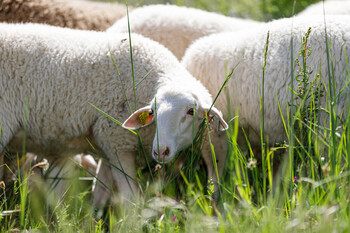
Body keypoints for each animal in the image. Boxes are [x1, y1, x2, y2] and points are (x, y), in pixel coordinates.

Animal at [0, 22, 227, 208]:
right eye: (153, 111)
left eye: (190, 111)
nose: (160, 151)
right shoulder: (117, 142)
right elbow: (129, 199)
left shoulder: (106, 145)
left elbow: (100, 195)